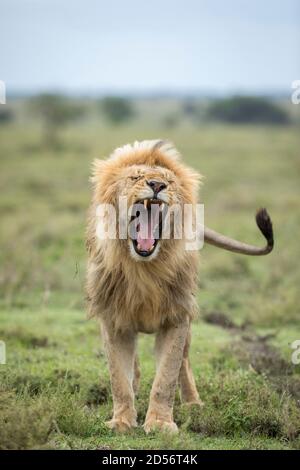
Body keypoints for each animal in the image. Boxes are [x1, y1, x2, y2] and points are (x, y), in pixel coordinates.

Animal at [85, 139, 274, 434]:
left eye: (170, 182)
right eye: (135, 177)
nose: (157, 185)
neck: (144, 269)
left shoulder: (177, 317)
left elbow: (166, 377)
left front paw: (160, 424)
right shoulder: (113, 319)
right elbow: (118, 378)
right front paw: (122, 421)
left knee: (184, 361)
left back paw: (193, 404)